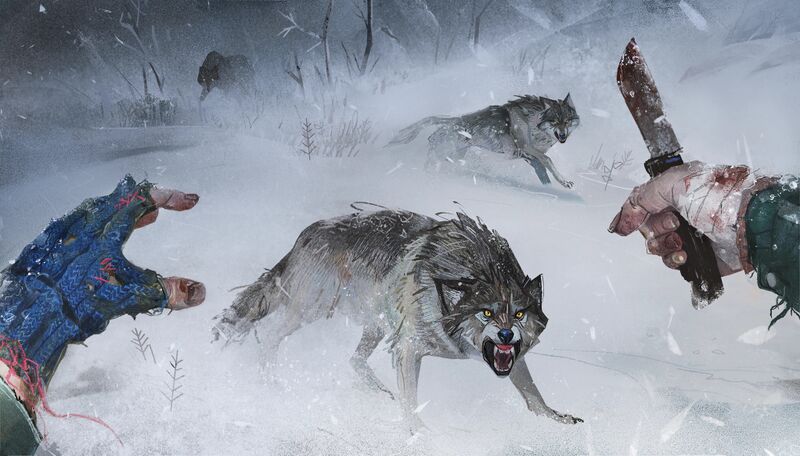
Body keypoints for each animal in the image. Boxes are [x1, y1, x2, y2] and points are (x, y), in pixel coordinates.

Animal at [212, 209, 582, 429]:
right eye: (486, 313)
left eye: (519, 314)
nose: (506, 335)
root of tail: (307, 233)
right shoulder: (408, 346)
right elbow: (411, 400)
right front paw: (418, 433)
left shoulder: (512, 358)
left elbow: (533, 394)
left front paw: (556, 419)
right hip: (310, 310)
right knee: (269, 336)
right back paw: (270, 384)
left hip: (375, 323)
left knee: (354, 360)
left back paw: (379, 392)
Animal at [388, 95, 580, 188]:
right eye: (555, 121)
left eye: (567, 121)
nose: (563, 136)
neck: (532, 121)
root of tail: (451, 120)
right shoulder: (522, 150)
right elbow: (547, 160)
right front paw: (565, 182)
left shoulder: (526, 155)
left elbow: (542, 169)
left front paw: (551, 188)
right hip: (444, 151)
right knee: (430, 161)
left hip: (455, 156)